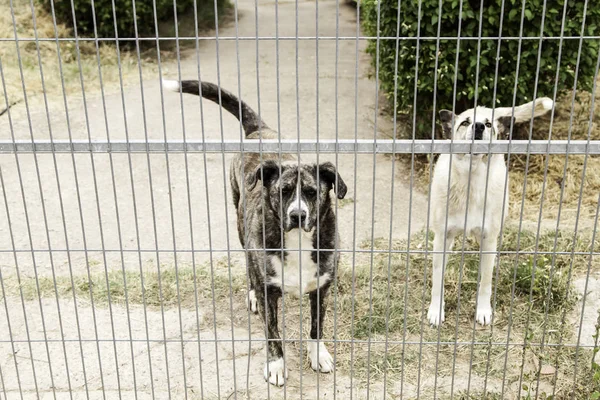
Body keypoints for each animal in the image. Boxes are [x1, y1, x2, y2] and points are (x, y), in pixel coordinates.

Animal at [426, 98, 552, 326]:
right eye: (465, 123)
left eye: (488, 125)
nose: (478, 126)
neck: (471, 181)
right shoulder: (441, 237)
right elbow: (437, 279)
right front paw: (436, 310)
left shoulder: (489, 240)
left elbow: (485, 282)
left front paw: (483, 310)